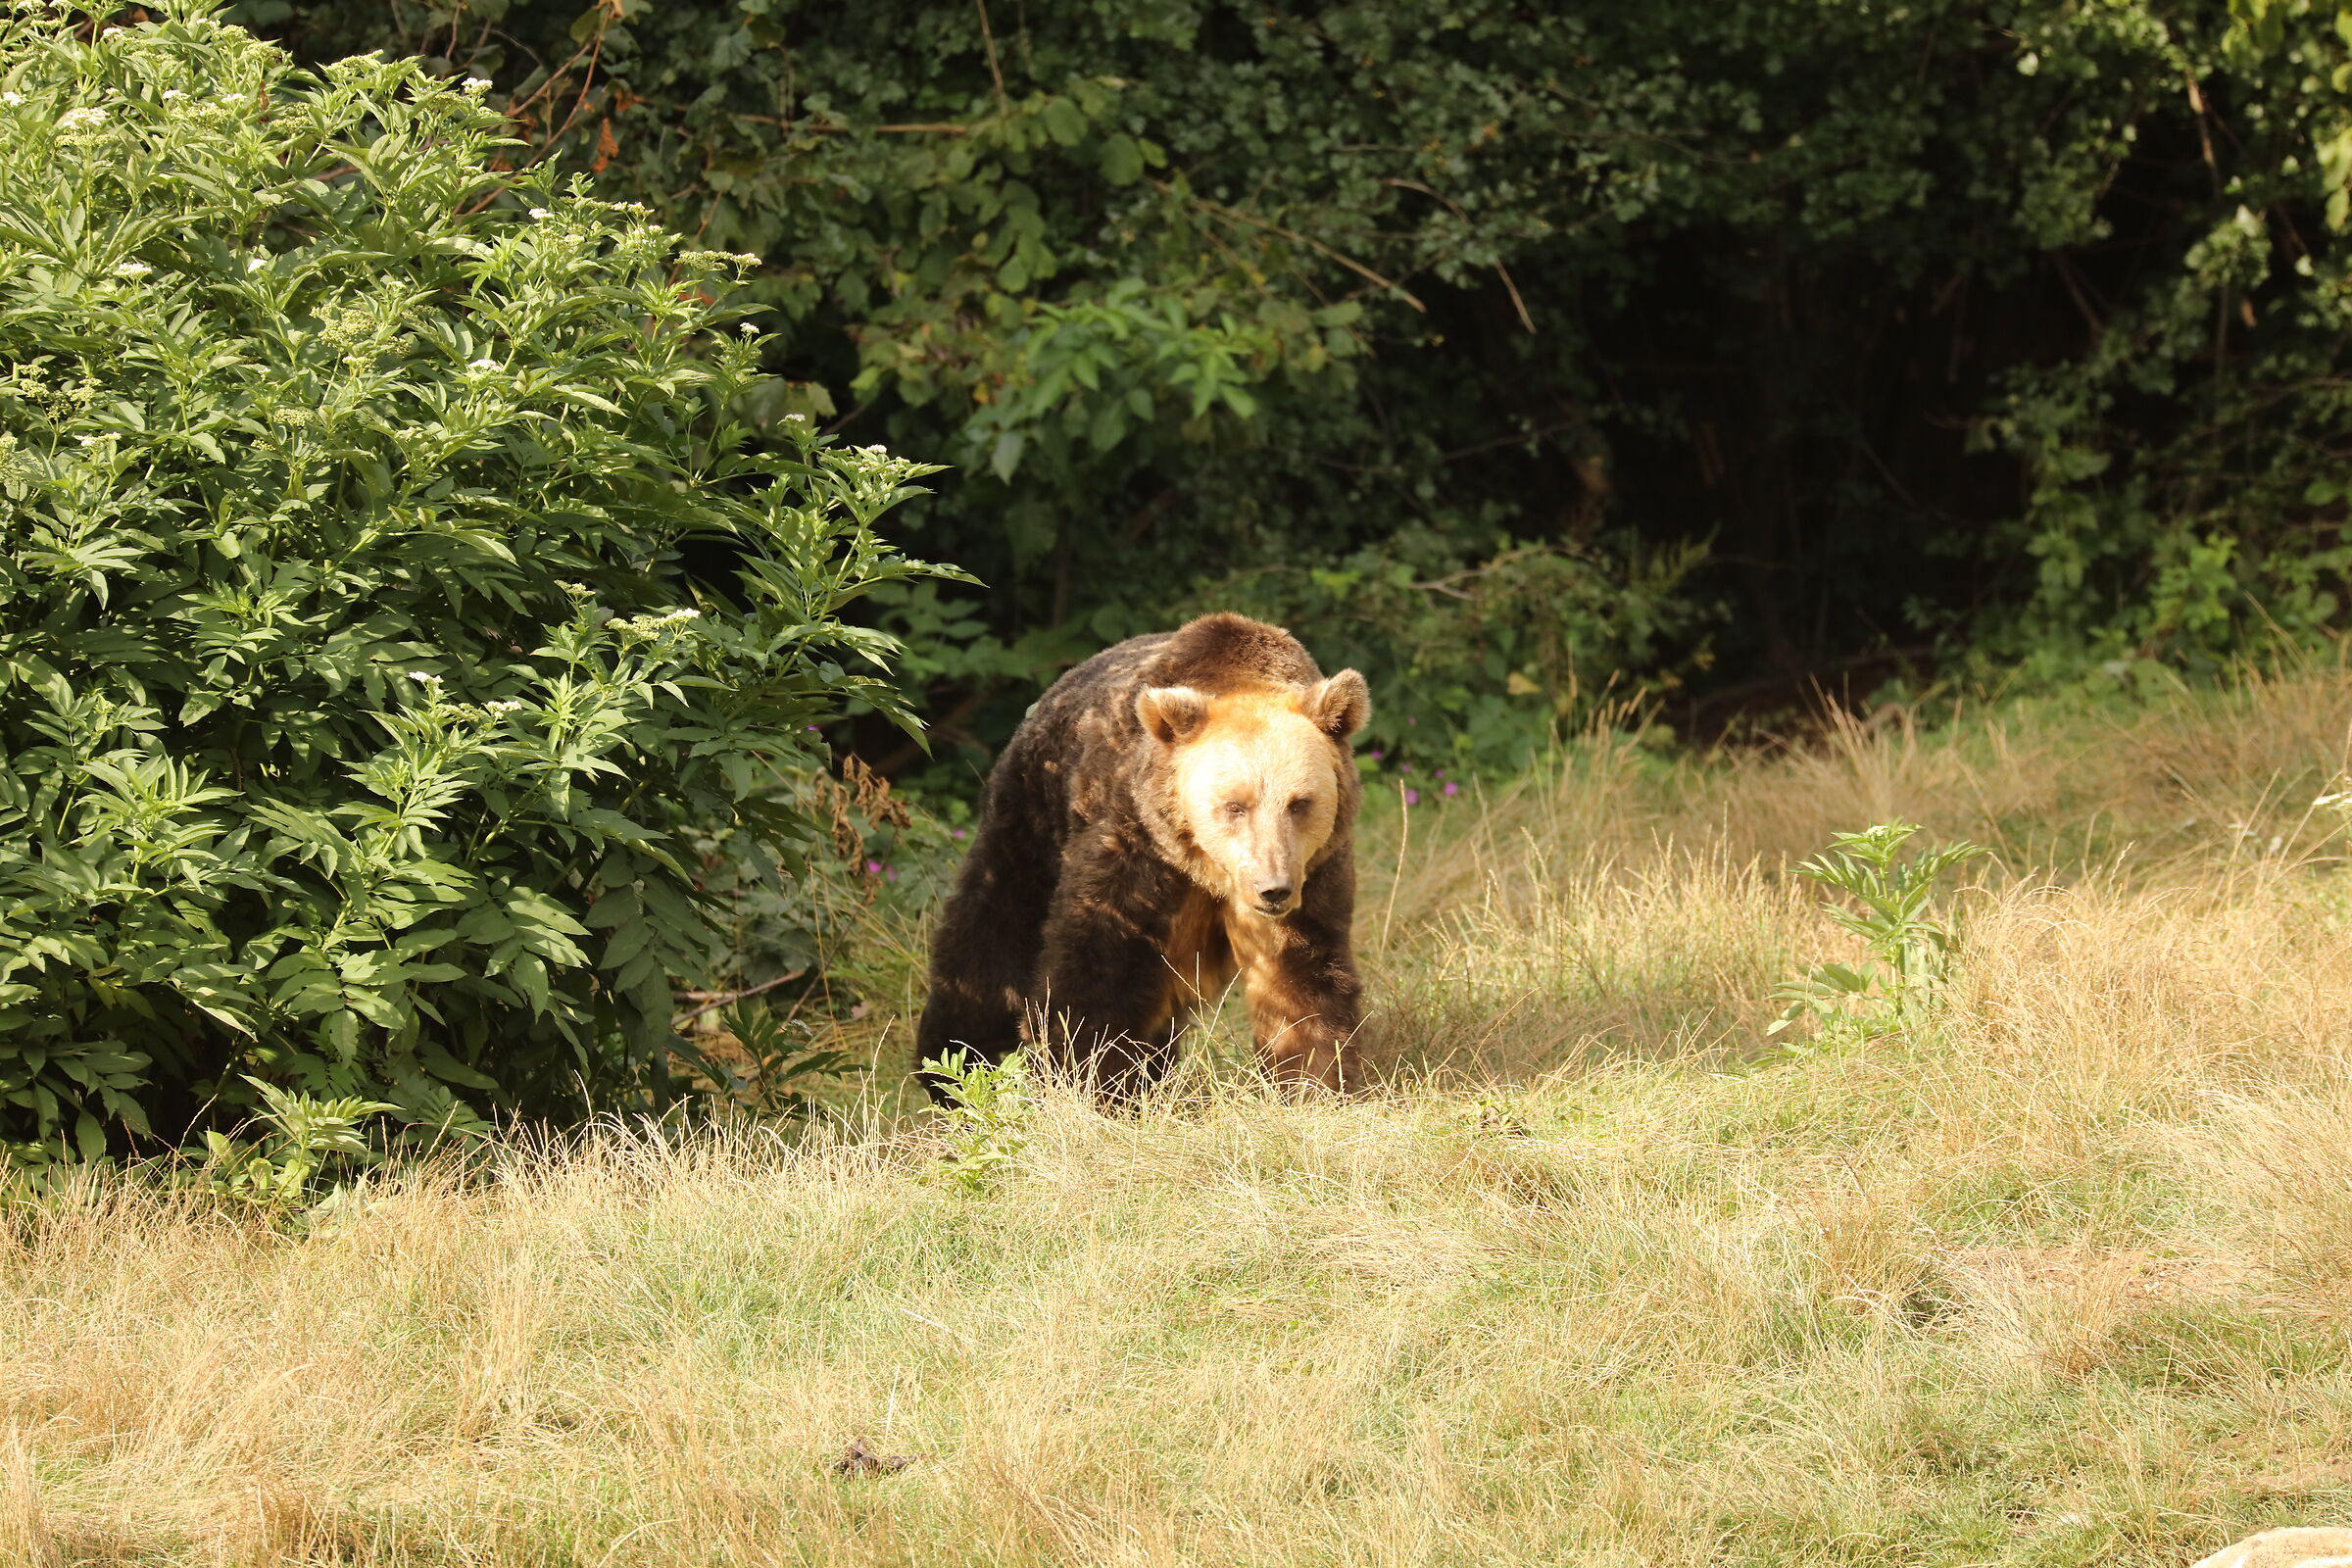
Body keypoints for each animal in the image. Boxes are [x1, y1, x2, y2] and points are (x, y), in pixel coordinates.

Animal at [915, 612, 1371, 1100]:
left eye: (1299, 803)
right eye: (1235, 805)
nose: (1273, 890)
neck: (1207, 870)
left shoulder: (1312, 875)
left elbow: (1298, 978)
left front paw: (1314, 1083)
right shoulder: (1135, 846)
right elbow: (1098, 974)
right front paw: (1089, 1083)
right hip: (1030, 820)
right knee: (991, 935)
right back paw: (953, 1064)